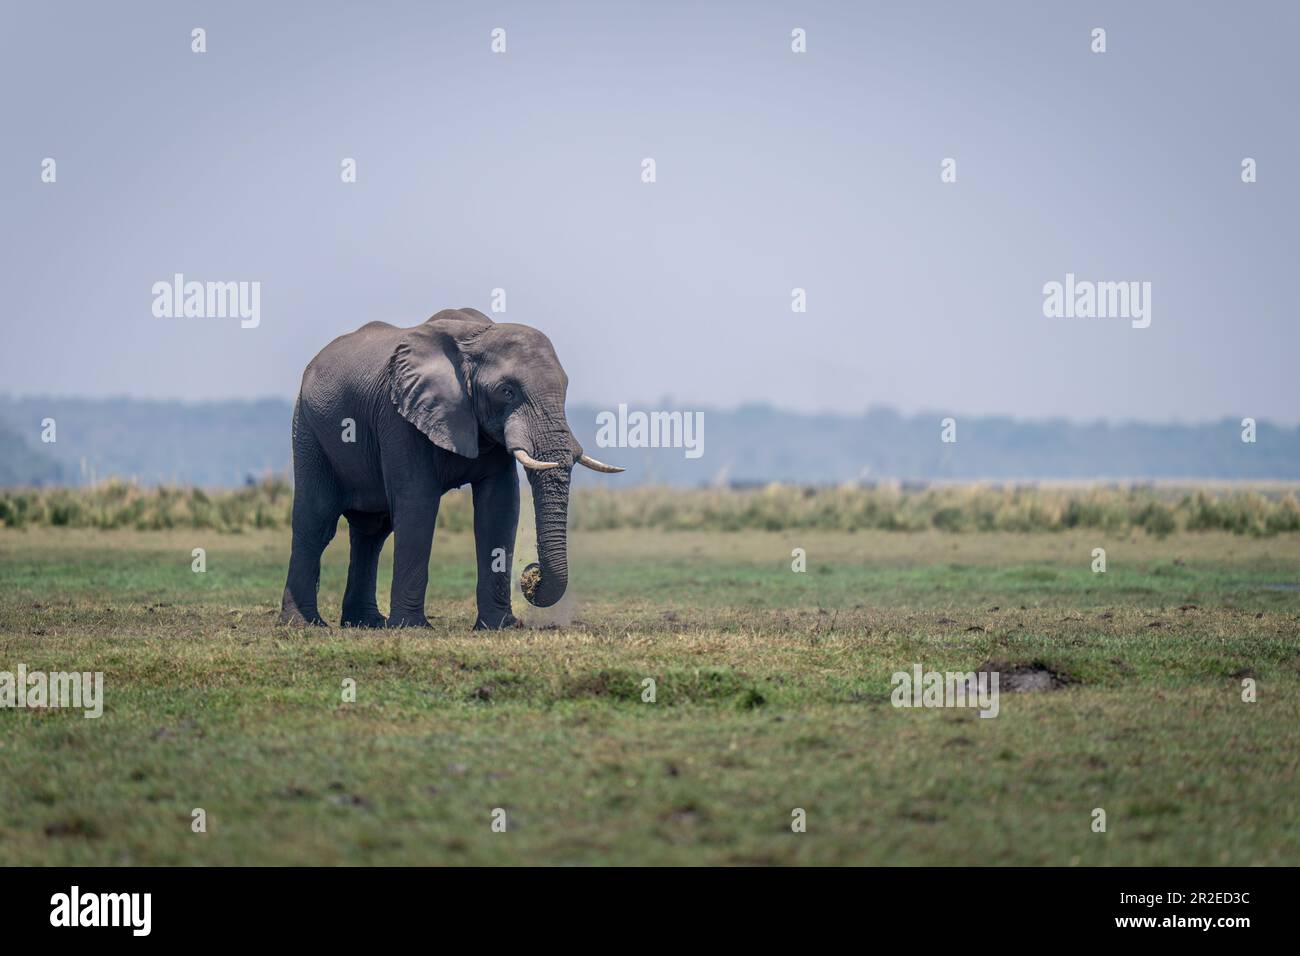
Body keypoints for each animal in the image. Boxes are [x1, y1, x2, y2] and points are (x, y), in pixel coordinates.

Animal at [279, 308, 623, 630]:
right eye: (507, 391)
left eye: (565, 389)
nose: (531, 574)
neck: (475, 337)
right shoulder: (399, 417)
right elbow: (417, 502)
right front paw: (412, 628)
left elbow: (500, 505)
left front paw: (498, 626)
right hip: (308, 429)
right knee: (316, 520)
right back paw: (304, 624)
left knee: (372, 532)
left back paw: (367, 623)